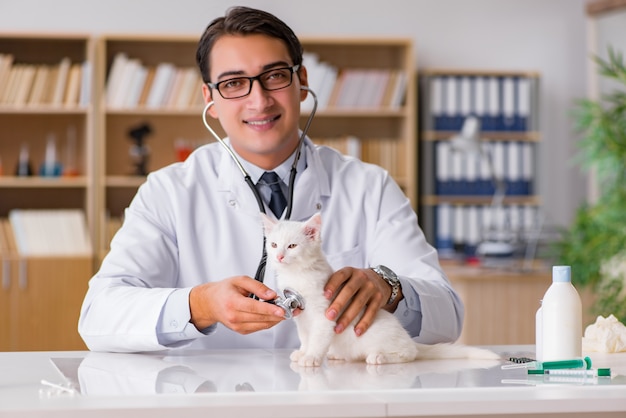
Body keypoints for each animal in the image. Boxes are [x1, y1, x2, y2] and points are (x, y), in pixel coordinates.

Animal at [260, 214, 498, 368]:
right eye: (273, 245)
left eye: (292, 246)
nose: (279, 256)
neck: (298, 274)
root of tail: (409, 339)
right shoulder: (301, 318)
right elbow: (305, 336)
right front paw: (303, 351)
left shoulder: (324, 315)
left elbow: (318, 339)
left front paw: (311, 357)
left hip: (383, 337)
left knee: (409, 354)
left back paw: (380, 357)